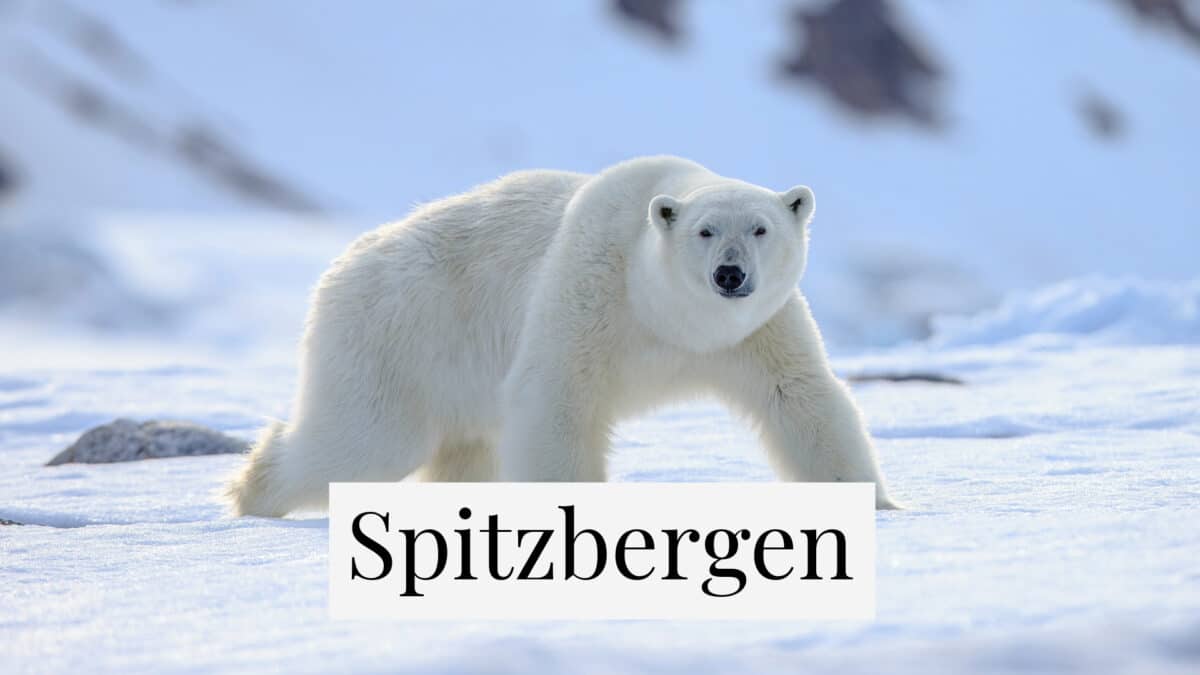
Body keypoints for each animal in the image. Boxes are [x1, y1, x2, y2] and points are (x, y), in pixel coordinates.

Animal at [225, 156, 897, 516]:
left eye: (761, 228)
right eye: (705, 231)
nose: (730, 275)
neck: (669, 317)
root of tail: (342, 264)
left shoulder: (756, 331)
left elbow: (801, 398)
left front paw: (880, 505)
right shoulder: (590, 287)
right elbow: (557, 398)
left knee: (462, 452)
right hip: (398, 336)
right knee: (365, 441)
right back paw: (253, 493)